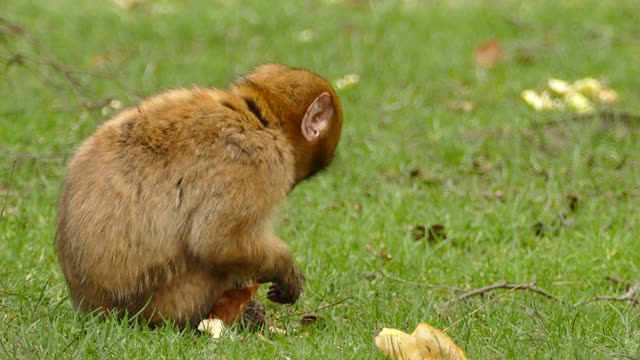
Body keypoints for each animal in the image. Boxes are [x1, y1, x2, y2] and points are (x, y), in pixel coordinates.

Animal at [56, 63, 340, 328]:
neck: (256, 117)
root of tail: (93, 308)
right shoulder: (256, 160)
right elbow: (219, 243)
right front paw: (286, 269)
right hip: (171, 300)